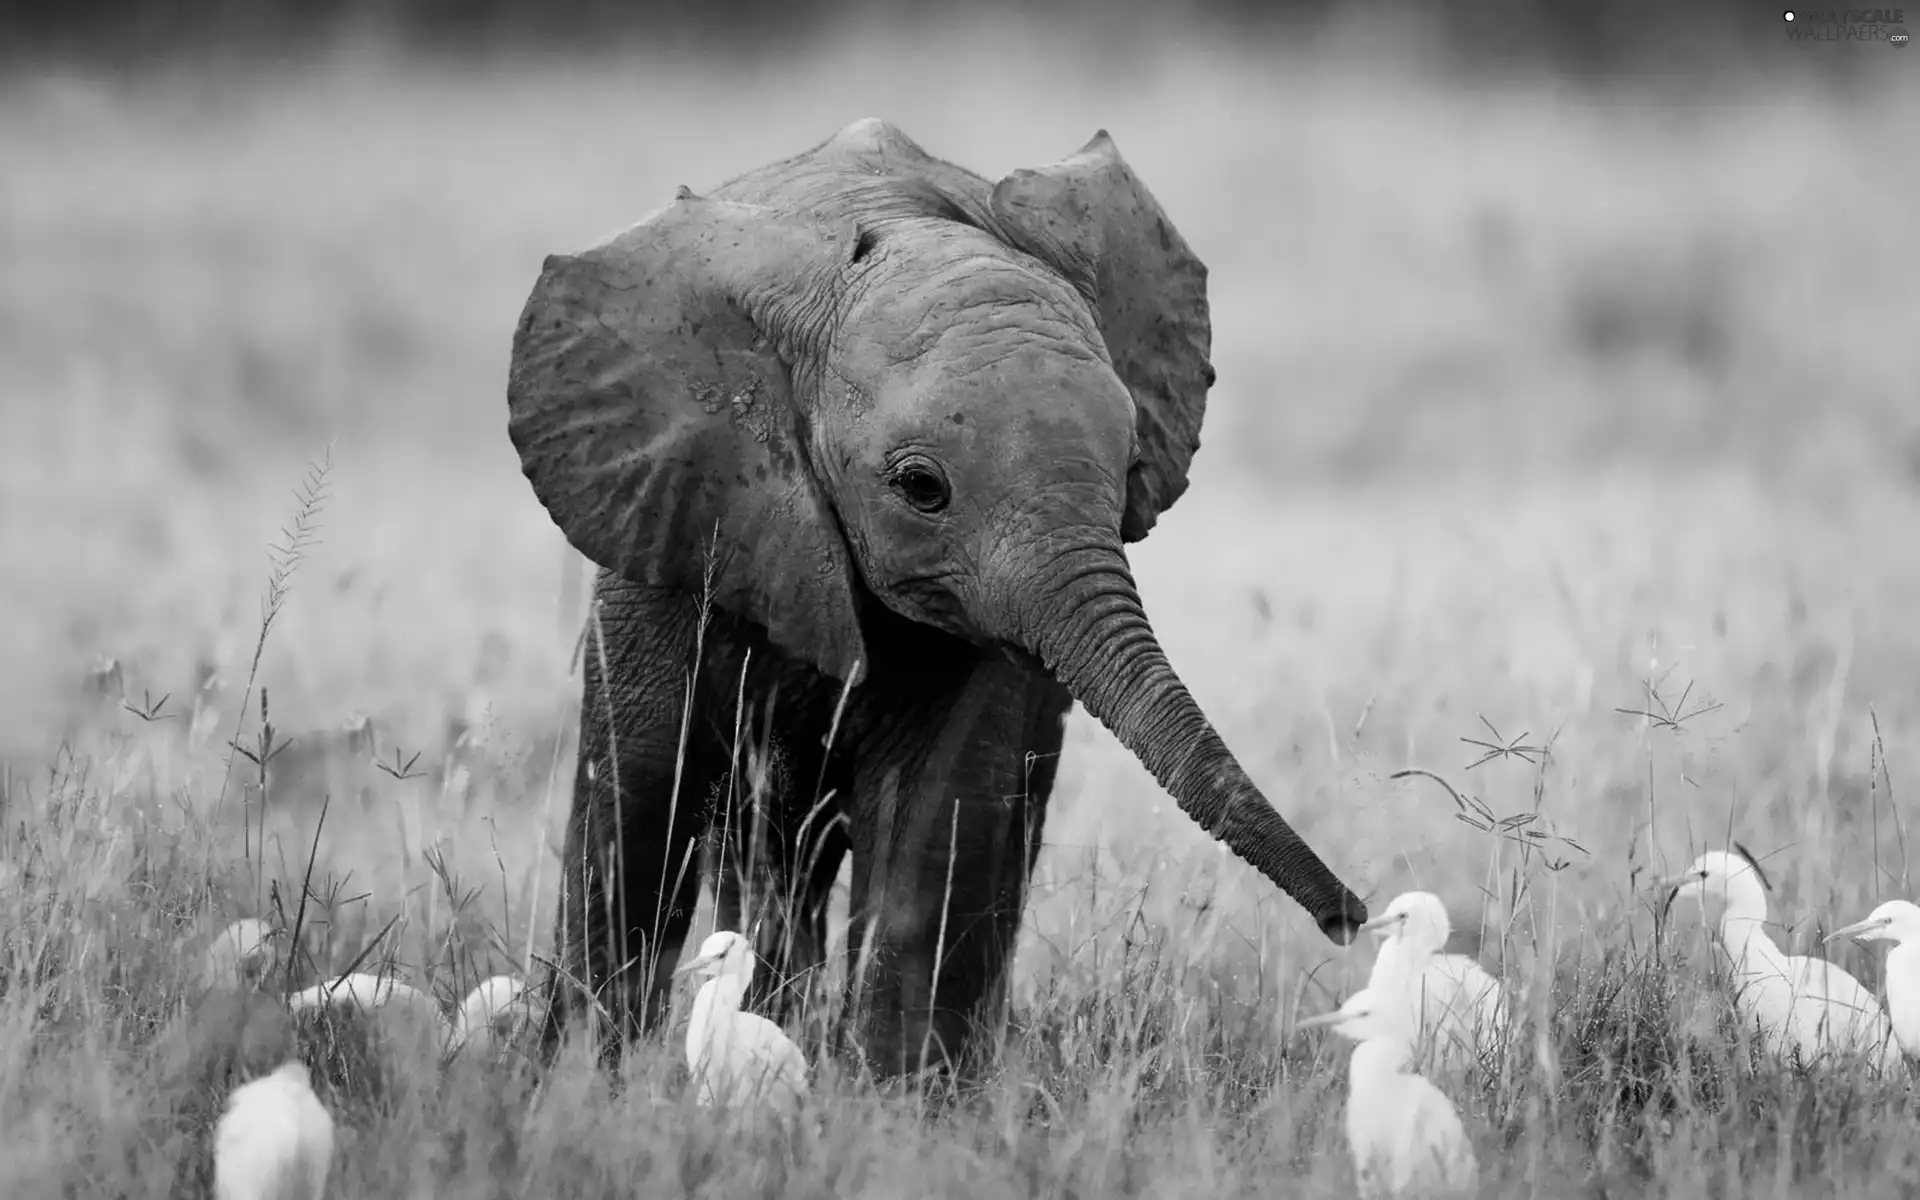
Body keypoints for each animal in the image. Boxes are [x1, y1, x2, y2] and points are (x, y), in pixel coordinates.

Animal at [510, 117, 1367, 1082]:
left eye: (1132, 465)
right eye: (922, 487)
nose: (1350, 920)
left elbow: (939, 814)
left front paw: (896, 1097)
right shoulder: (674, 511)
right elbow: (639, 799)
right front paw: (576, 1082)